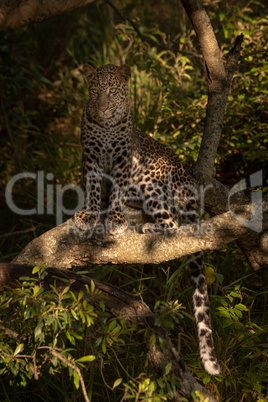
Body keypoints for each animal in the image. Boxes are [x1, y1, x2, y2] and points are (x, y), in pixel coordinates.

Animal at [74, 62, 221, 374]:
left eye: (113, 92)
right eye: (95, 90)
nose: (103, 108)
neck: (106, 127)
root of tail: (188, 185)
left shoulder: (122, 161)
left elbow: (116, 191)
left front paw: (115, 218)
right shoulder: (90, 158)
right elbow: (92, 188)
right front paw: (90, 212)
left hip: (153, 183)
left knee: (173, 225)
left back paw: (147, 226)